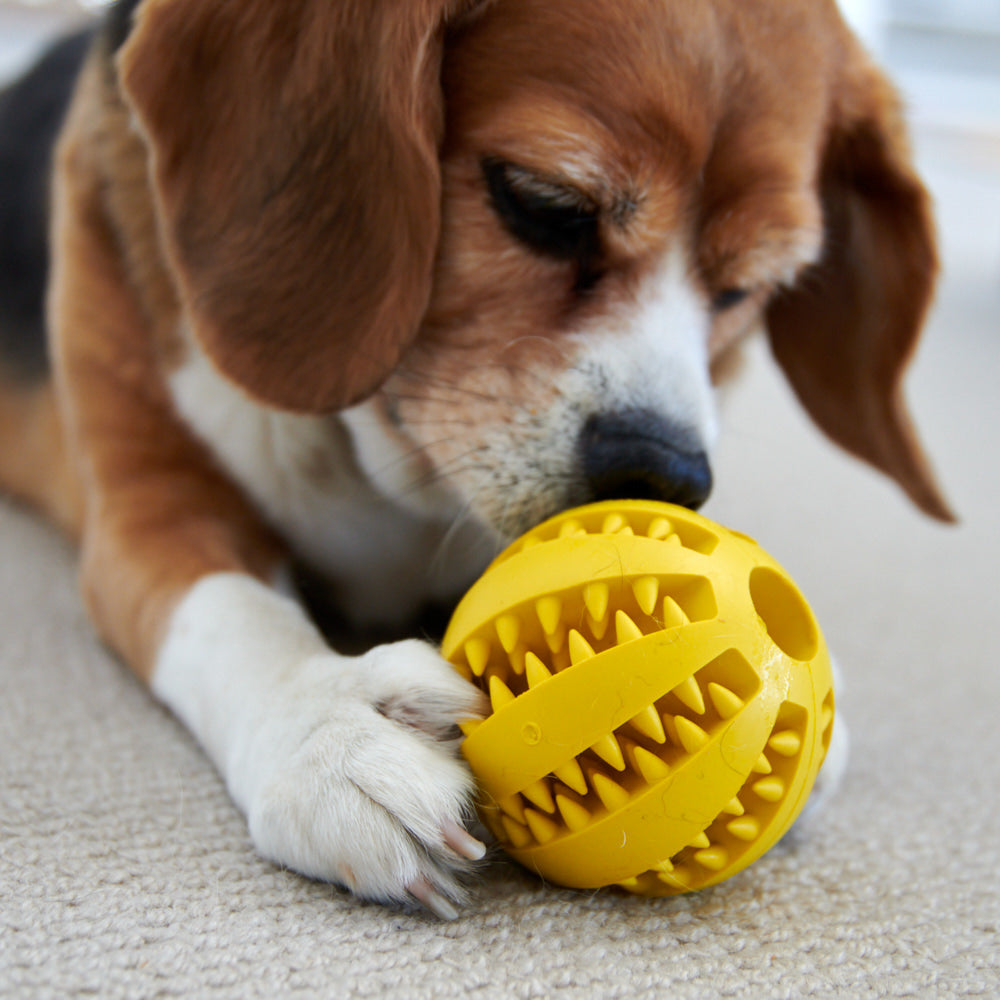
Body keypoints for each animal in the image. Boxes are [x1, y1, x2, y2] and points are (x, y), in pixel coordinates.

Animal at [0, 0, 948, 916]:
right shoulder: (151, 508)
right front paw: (330, 730)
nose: (664, 475)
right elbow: (232, 615)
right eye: (543, 205)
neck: (378, 446)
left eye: (748, 289)